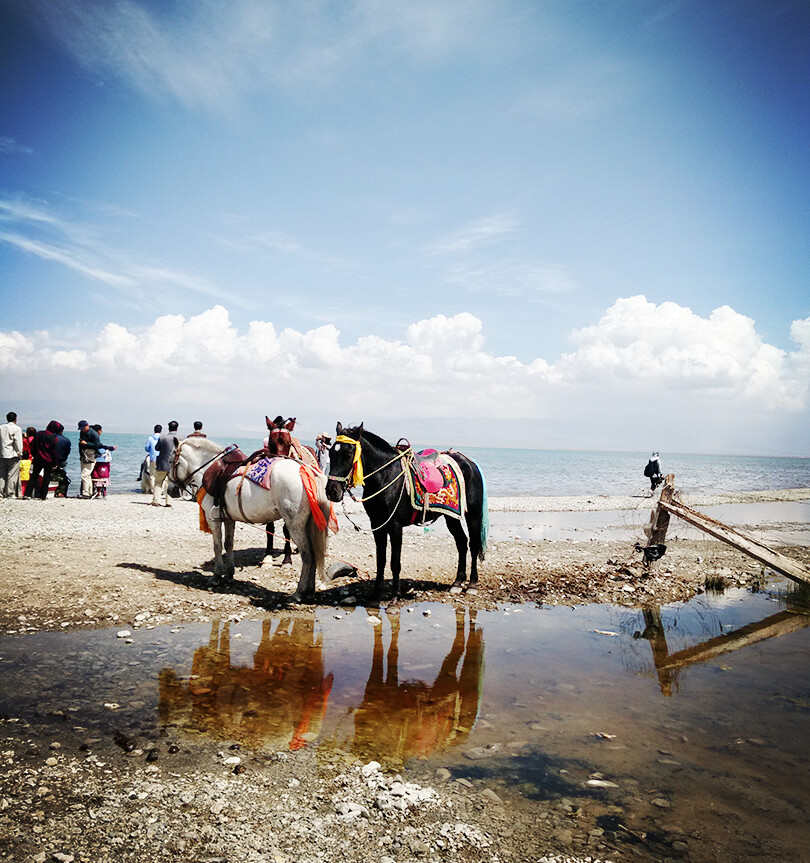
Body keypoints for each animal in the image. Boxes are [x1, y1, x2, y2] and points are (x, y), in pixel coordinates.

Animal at [170, 438, 332, 600]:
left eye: (171, 461)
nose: (171, 490)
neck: (209, 468)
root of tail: (306, 470)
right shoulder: (229, 519)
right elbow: (228, 544)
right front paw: (229, 575)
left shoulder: (213, 520)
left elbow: (217, 546)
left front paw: (216, 577)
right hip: (307, 525)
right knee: (314, 554)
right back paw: (309, 590)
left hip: (295, 525)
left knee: (307, 554)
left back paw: (299, 592)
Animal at [322, 426, 486, 600]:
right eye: (331, 453)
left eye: (348, 454)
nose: (332, 491)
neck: (386, 476)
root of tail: (470, 462)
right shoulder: (377, 525)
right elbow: (381, 560)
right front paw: (376, 593)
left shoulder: (395, 526)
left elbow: (395, 563)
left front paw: (395, 595)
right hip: (451, 517)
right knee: (461, 542)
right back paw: (457, 583)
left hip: (473, 515)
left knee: (473, 544)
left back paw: (472, 584)